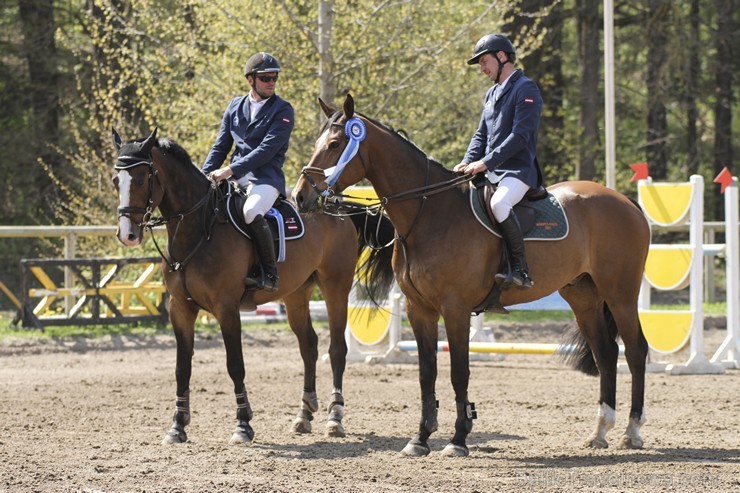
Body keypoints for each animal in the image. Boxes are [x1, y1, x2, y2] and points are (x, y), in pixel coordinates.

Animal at [110, 129, 394, 444]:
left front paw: (243, 424)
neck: (197, 228)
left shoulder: (227, 308)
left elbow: (235, 365)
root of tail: (338, 210)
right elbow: (182, 367)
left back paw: (335, 417)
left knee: (336, 349)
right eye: (116, 181)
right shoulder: (180, 309)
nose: (128, 235)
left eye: (141, 179)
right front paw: (177, 426)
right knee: (308, 346)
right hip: (296, 295)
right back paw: (303, 415)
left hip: (335, 288)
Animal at [292, 96, 652, 458]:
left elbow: (458, 373)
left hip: (620, 294)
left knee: (635, 351)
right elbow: (427, 373)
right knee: (606, 354)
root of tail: (624, 201)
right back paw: (600, 431)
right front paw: (420, 439)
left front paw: (458, 439)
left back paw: (632, 431)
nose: (301, 196)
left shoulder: (456, 308)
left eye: (335, 144)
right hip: (583, 297)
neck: (429, 212)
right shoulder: (418, 308)